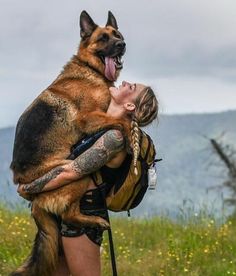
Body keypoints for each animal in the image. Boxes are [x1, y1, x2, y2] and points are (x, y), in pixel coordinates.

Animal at [10, 10, 127, 276]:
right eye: (103, 38)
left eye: (118, 35)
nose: (122, 45)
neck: (90, 69)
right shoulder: (89, 118)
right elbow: (121, 121)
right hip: (75, 173)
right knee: (71, 215)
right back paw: (95, 220)